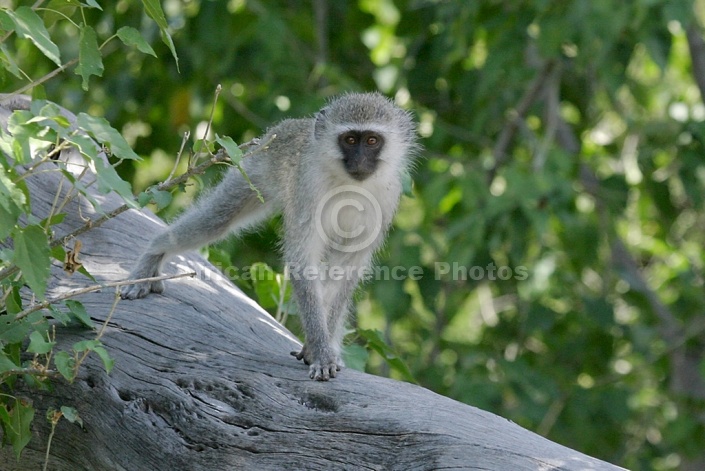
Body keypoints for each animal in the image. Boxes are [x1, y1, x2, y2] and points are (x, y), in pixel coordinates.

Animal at [121, 93, 418, 384]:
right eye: (350, 140)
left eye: (372, 141)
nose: (359, 162)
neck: (350, 184)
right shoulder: (307, 190)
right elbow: (302, 260)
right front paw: (321, 351)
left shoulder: (386, 198)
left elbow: (346, 268)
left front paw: (320, 347)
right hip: (252, 169)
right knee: (216, 220)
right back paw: (152, 256)